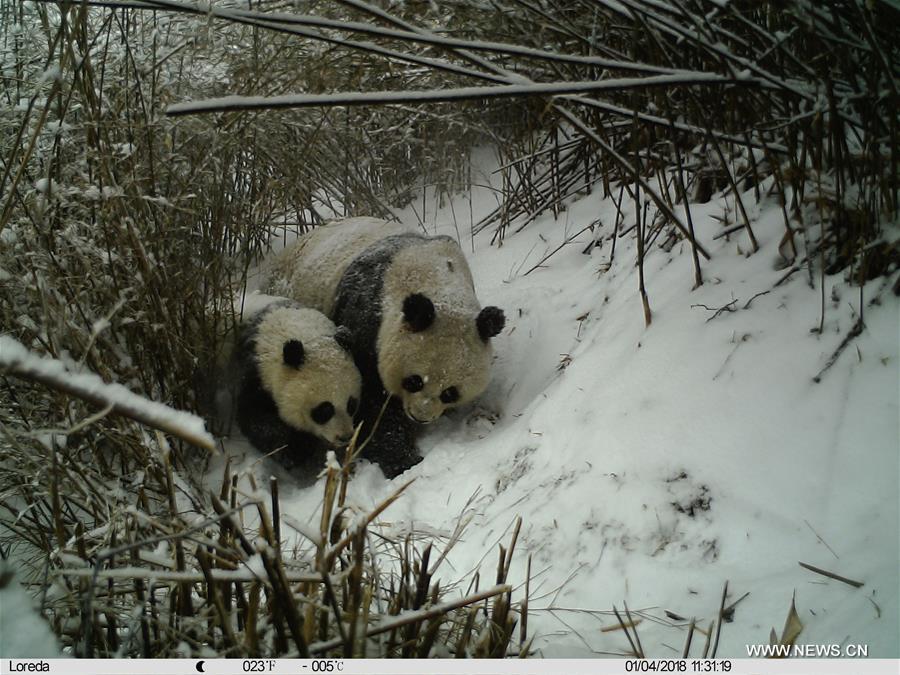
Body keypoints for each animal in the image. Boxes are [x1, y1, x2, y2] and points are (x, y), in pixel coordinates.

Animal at [234, 300, 364, 480]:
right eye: (324, 410)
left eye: (351, 404)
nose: (345, 436)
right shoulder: (256, 374)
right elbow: (255, 418)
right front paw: (294, 450)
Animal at [268, 219, 506, 478]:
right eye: (414, 381)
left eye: (450, 392)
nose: (420, 416)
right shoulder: (366, 320)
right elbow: (371, 406)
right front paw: (403, 460)